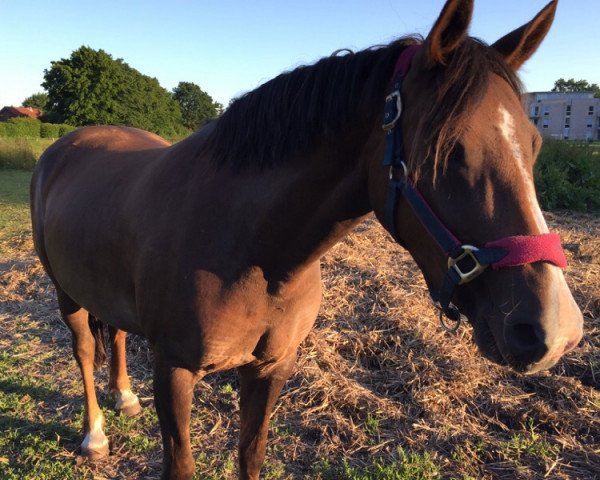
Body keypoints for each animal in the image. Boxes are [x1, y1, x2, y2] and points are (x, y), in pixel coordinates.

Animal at [29, 1, 580, 478]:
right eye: (450, 150)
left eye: (534, 145)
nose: (556, 331)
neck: (254, 253)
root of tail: (67, 144)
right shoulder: (173, 371)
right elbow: (180, 464)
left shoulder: (272, 368)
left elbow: (250, 457)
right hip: (66, 295)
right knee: (84, 351)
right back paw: (95, 435)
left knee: (118, 335)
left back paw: (124, 397)